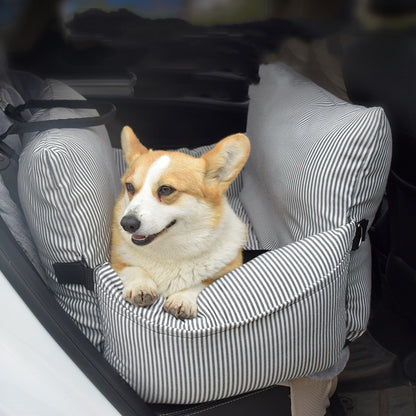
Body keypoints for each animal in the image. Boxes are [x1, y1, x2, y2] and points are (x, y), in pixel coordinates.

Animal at [110, 126, 250, 318]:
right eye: (130, 186)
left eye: (166, 189)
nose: (127, 224)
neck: (170, 252)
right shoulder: (116, 261)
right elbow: (134, 269)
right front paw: (141, 286)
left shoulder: (225, 272)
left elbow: (201, 283)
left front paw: (182, 298)